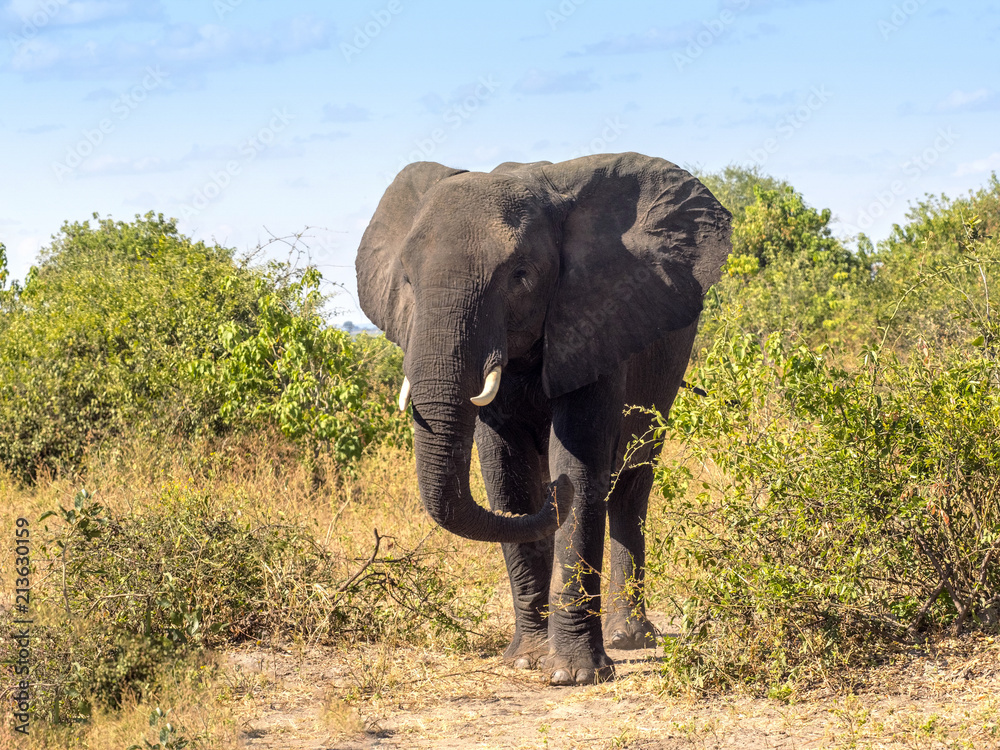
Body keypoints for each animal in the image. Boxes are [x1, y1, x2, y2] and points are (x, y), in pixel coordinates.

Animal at [356, 152, 731, 685]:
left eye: (520, 275)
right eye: (407, 279)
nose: (554, 492)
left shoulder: (595, 320)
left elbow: (579, 461)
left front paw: (574, 675)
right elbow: (506, 474)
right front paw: (527, 660)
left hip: (668, 365)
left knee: (631, 484)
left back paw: (628, 637)